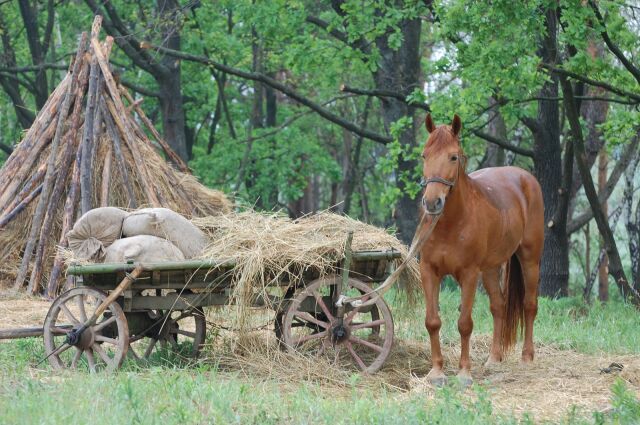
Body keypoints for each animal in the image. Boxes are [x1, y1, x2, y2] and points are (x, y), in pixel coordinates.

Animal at [420, 112, 544, 384]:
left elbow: (465, 323)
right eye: (424, 155)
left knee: (529, 305)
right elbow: (432, 321)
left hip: (530, 260)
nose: (432, 203)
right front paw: (436, 372)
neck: (451, 224)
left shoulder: (468, 274)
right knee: (498, 306)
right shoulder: (429, 271)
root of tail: (525, 178)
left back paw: (527, 357)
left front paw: (464, 373)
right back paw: (493, 358)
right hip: (490, 269)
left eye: (453, 157)